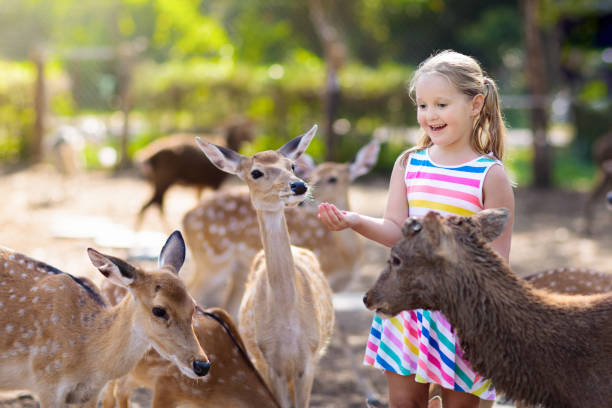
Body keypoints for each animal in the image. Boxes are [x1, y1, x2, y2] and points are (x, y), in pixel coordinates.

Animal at [182, 140, 378, 316]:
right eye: (313, 175)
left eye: (333, 179)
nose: (304, 193)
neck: (347, 255)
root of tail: (186, 216)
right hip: (212, 260)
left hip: (237, 269)